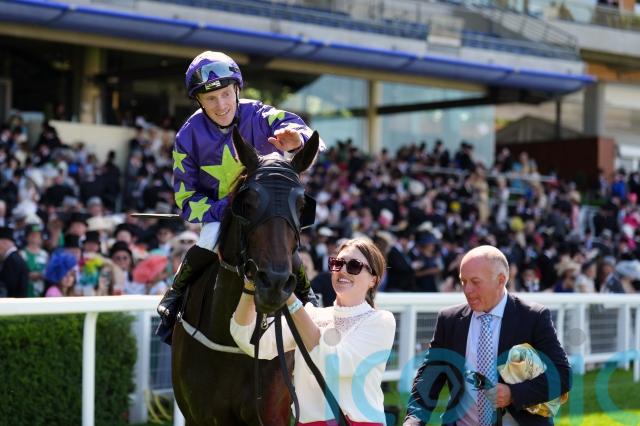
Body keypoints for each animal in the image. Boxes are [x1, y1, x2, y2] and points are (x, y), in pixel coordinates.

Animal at [171, 127, 320, 425]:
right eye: (248, 202)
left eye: (301, 205)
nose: (274, 283)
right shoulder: (201, 415)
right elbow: (188, 192)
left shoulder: (274, 411)